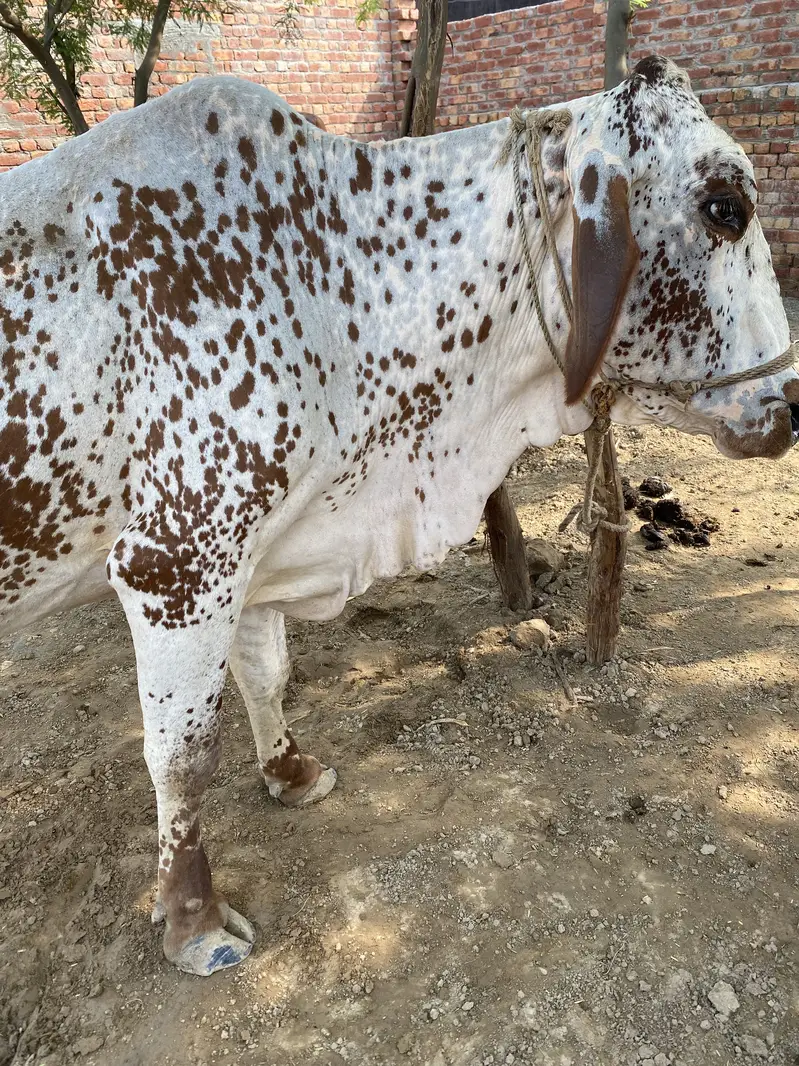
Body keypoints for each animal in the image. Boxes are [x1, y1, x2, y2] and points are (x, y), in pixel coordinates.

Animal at [0, 55, 796, 975]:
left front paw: (291, 773)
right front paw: (193, 919)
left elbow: (265, 677)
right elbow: (182, 755)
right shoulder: (176, 568)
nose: (789, 403)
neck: (331, 284)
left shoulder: (259, 555)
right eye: (725, 208)